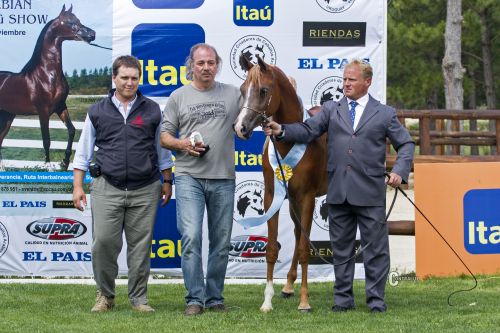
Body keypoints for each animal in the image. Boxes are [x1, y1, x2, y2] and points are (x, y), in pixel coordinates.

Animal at [0, 5, 95, 169]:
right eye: (70, 21)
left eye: (78, 20)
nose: (92, 34)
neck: (47, 75)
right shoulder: (43, 111)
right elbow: (46, 140)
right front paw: (47, 166)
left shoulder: (60, 106)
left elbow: (71, 130)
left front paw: (65, 161)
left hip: (6, 117)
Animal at [234, 55, 328, 312]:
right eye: (242, 89)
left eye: (263, 91)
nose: (240, 128)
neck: (292, 136)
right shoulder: (272, 197)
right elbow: (272, 250)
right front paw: (267, 300)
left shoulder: (307, 197)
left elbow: (306, 249)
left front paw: (305, 301)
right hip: (292, 201)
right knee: (297, 233)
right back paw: (287, 286)